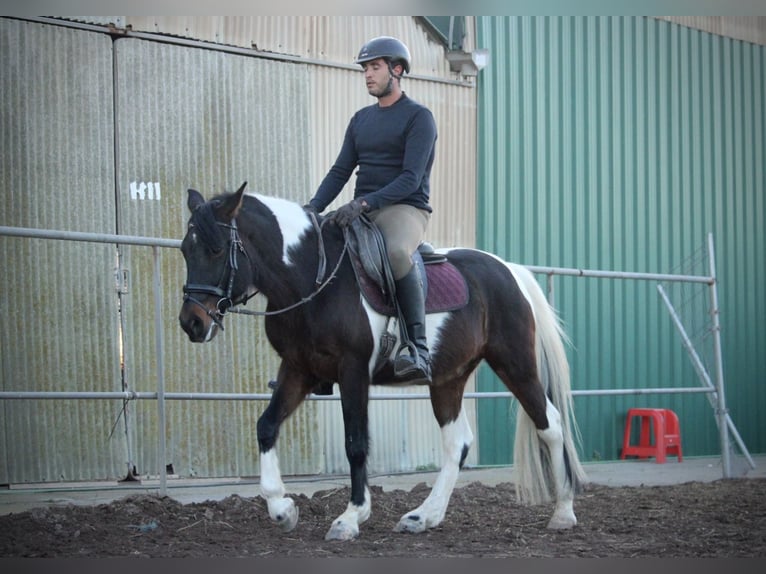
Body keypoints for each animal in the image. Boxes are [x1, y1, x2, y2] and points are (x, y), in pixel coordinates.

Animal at [178, 183, 588, 540]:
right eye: (185, 250)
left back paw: (564, 512)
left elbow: (356, 443)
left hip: (515, 364)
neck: (312, 280)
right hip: (448, 379)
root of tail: (509, 270)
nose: (191, 323)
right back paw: (423, 516)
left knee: (550, 425)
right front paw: (282, 508)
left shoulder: (353, 371)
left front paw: (350, 518)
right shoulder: (298, 370)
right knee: (457, 442)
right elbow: (266, 426)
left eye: (216, 250)